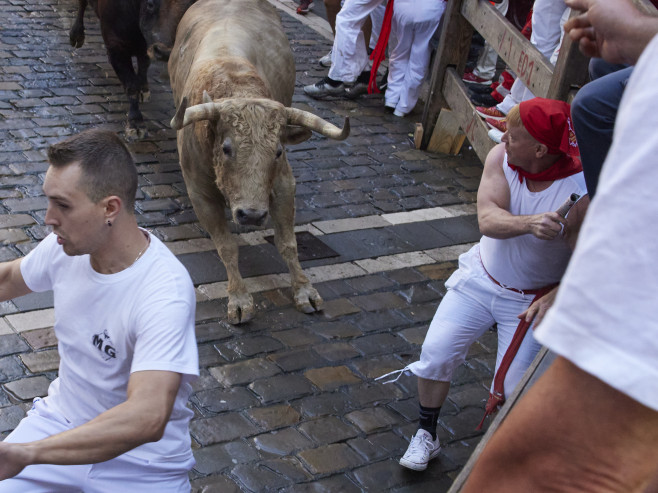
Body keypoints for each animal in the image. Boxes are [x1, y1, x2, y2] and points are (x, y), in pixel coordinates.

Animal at [168, 0, 348, 322]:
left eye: (277, 151)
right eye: (226, 148)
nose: (251, 215)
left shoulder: (283, 182)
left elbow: (287, 242)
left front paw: (304, 289)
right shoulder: (199, 193)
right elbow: (226, 246)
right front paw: (239, 296)